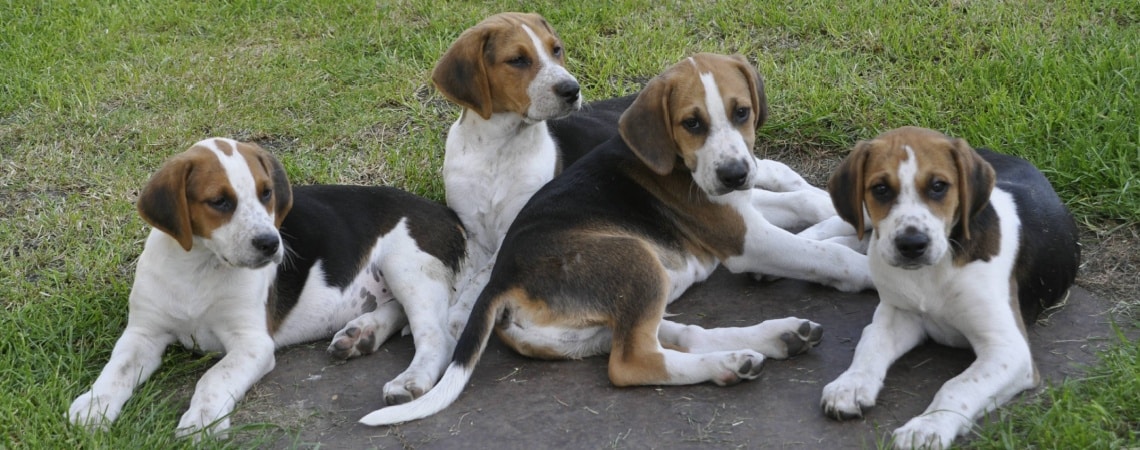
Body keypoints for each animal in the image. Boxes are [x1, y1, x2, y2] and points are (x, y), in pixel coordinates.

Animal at [66, 138, 465, 439]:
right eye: (220, 201)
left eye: (267, 194)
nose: (272, 244)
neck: (200, 266)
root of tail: (446, 211)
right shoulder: (144, 333)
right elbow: (117, 369)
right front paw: (93, 407)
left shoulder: (252, 343)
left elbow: (213, 377)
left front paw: (201, 421)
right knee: (400, 312)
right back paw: (362, 333)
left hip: (407, 265)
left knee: (436, 336)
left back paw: (409, 379)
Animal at [357, 52, 870, 426]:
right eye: (692, 123)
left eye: (741, 112)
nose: (735, 173)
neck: (675, 160)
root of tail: (502, 278)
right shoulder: (745, 236)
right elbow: (825, 255)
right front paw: (868, 267)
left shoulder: (741, 210)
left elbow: (804, 207)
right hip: (635, 259)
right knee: (633, 361)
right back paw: (730, 364)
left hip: (609, 310)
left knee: (675, 336)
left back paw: (774, 339)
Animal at [820, 127, 1076, 450]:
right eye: (880, 189)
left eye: (938, 186)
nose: (911, 245)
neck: (930, 273)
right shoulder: (898, 314)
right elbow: (870, 344)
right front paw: (851, 384)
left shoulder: (1008, 350)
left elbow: (958, 386)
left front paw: (926, 427)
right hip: (863, 219)